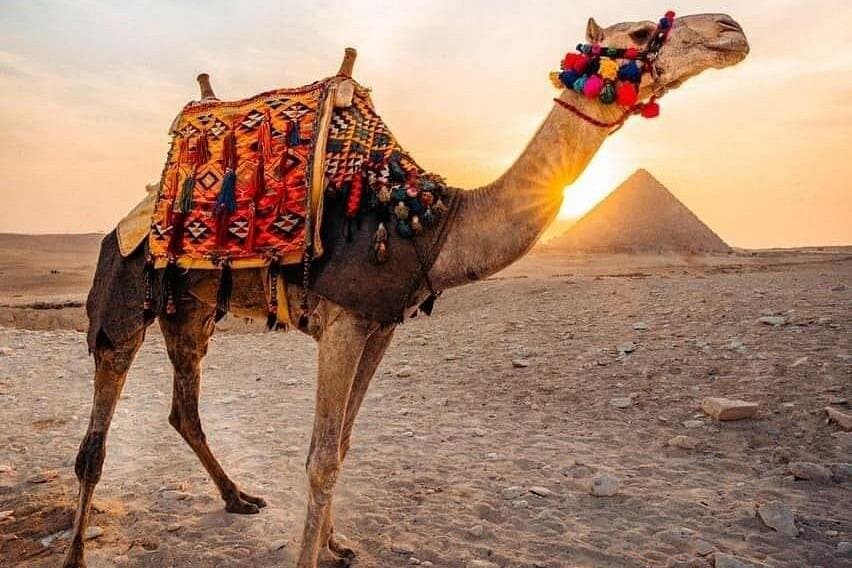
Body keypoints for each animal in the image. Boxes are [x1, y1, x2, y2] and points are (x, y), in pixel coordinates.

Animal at [63, 12, 749, 568]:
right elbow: (321, 458)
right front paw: (312, 554)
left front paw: (336, 545)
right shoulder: (342, 321)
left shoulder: (380, 323)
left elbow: (343, 442)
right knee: (97, 435)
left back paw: (239, 498)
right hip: (123, 289)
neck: (432, 221)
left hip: (190, 310)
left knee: (185, 407)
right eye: (641, 31)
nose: (731, 29)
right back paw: (77, 552)